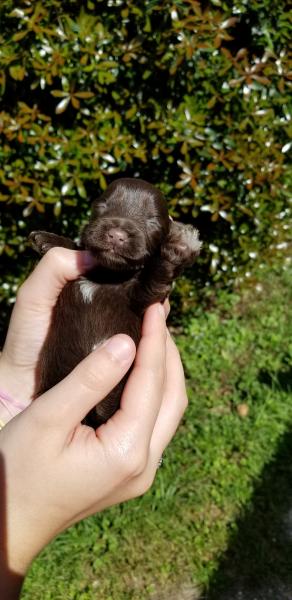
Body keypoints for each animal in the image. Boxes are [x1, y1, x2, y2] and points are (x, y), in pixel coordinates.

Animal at [30, 178, 201, 426]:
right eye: (102, 206)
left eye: (152, 221)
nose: (116, 234)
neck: (107, 276)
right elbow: (78, 247)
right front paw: (47, 239)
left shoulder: (142, 296)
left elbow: (156, 276)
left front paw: (179, 245)